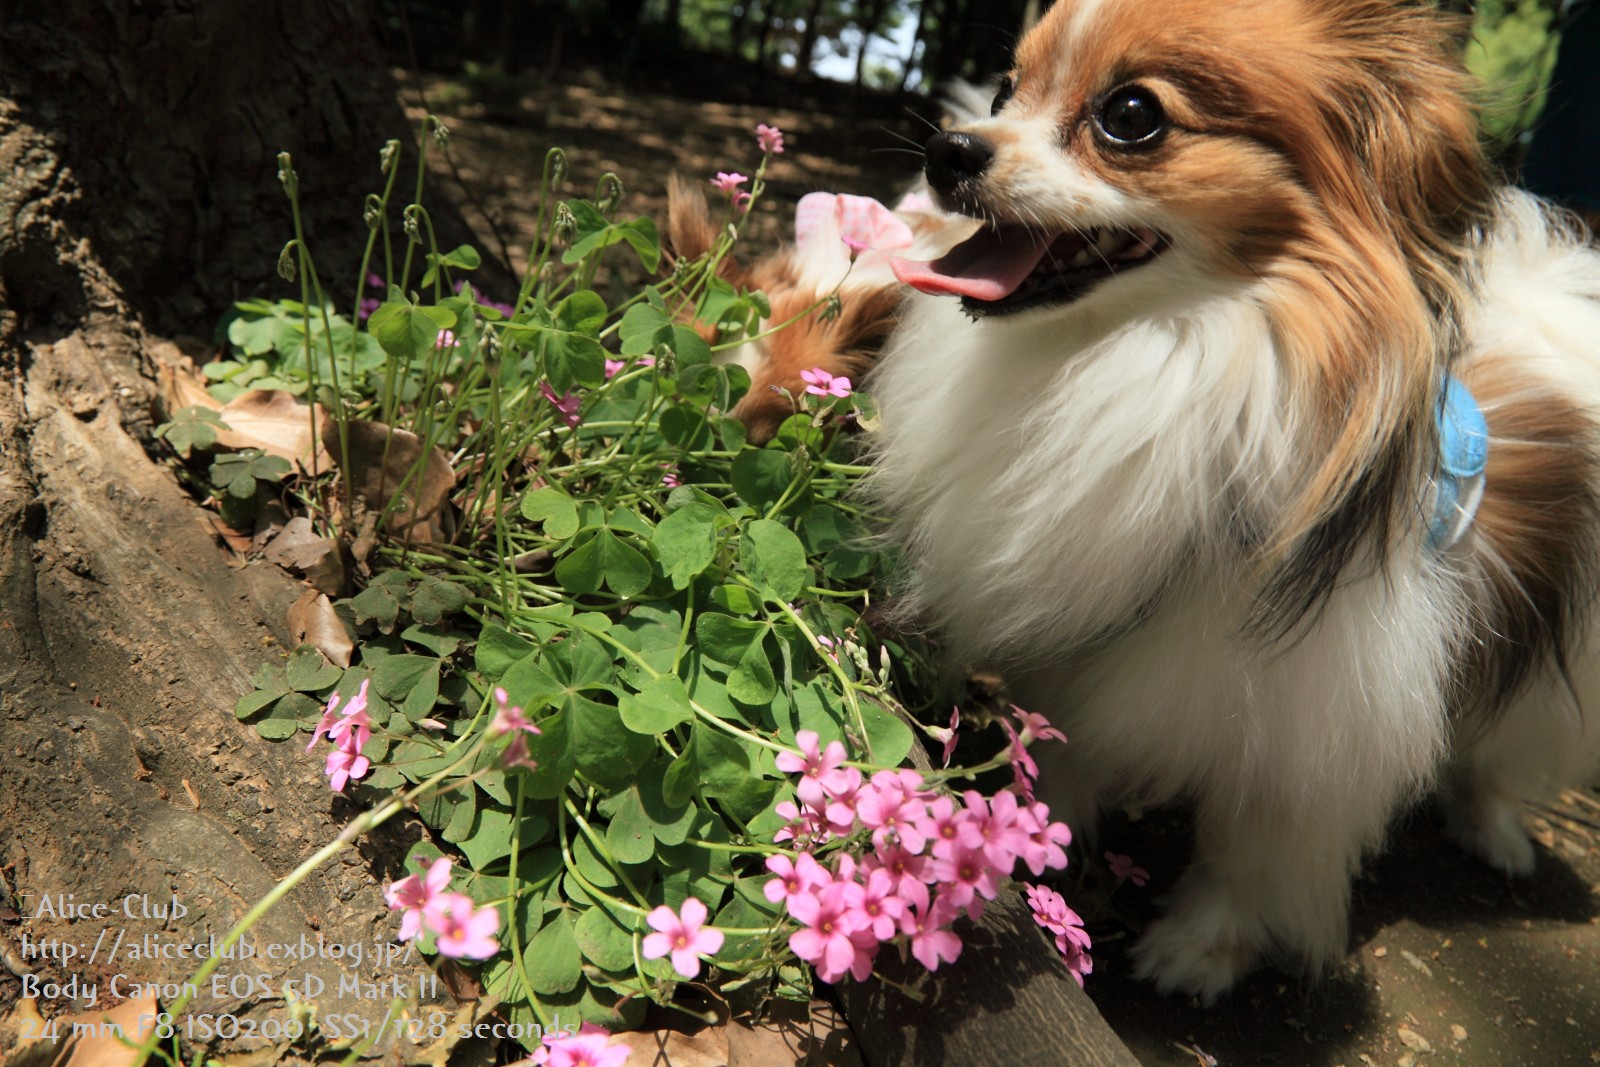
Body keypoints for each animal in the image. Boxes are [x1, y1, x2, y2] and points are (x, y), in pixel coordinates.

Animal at [851, 0, 1600, 1004]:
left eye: (1131, 116)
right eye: (1008, 89)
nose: (949, 149)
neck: (1163, 354)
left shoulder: (1319, 714)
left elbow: (1257, 845)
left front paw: (1202, 949)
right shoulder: (1092, 631)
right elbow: (1068, 745)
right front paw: (1043, 836)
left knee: (1498, 742)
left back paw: (1495, 830)